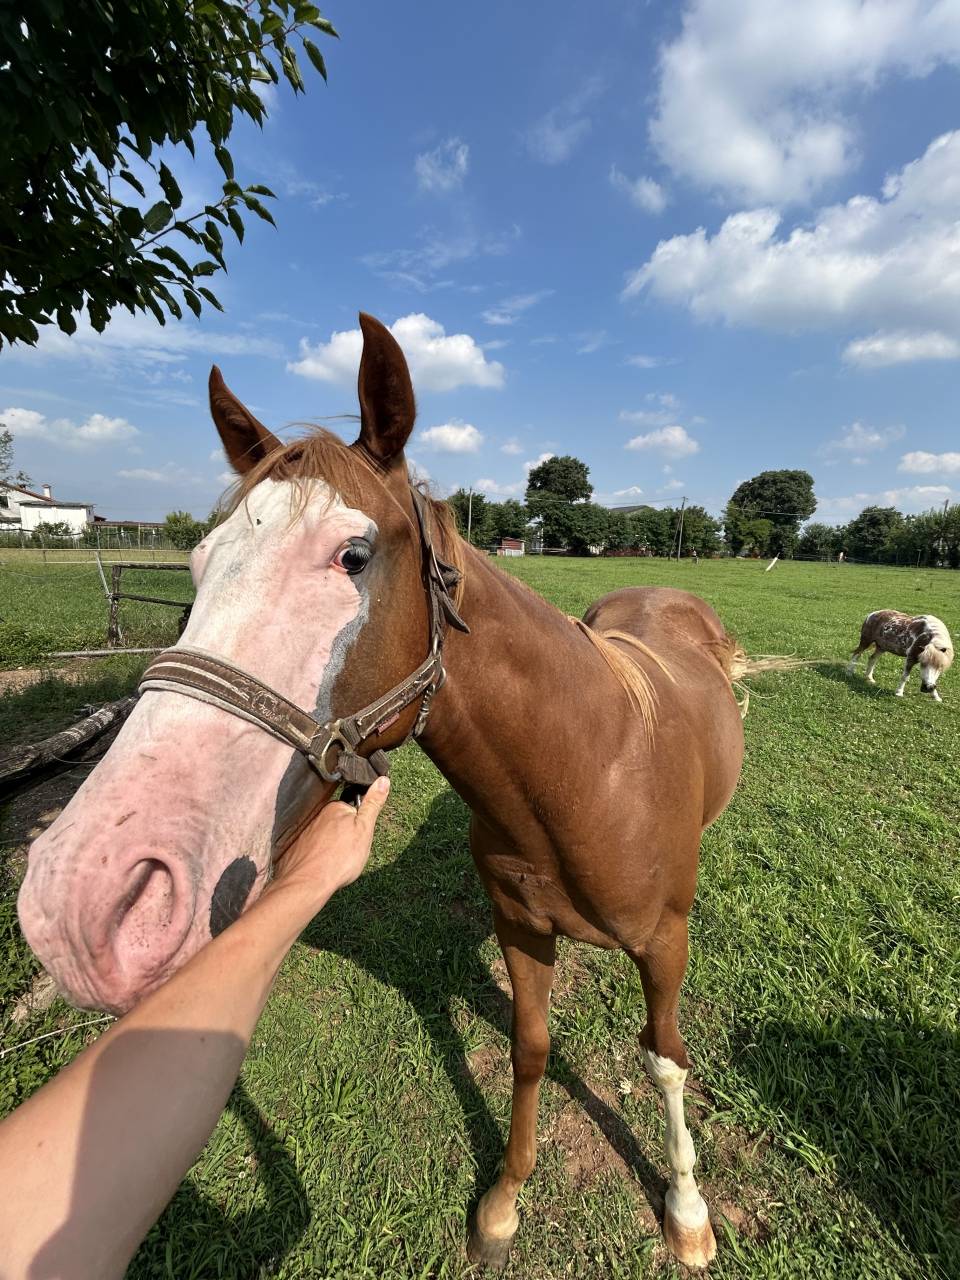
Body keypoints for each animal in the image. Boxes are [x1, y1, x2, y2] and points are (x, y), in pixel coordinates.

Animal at [19, 314, 778, 1270]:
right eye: (196, 564)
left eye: (352, 555)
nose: (80, 898)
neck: (588, 772)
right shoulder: (520, 930)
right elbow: (531, 1048)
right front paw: (503, 1202)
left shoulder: (665, 947)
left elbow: (665, 1058)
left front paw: (686, 1215)